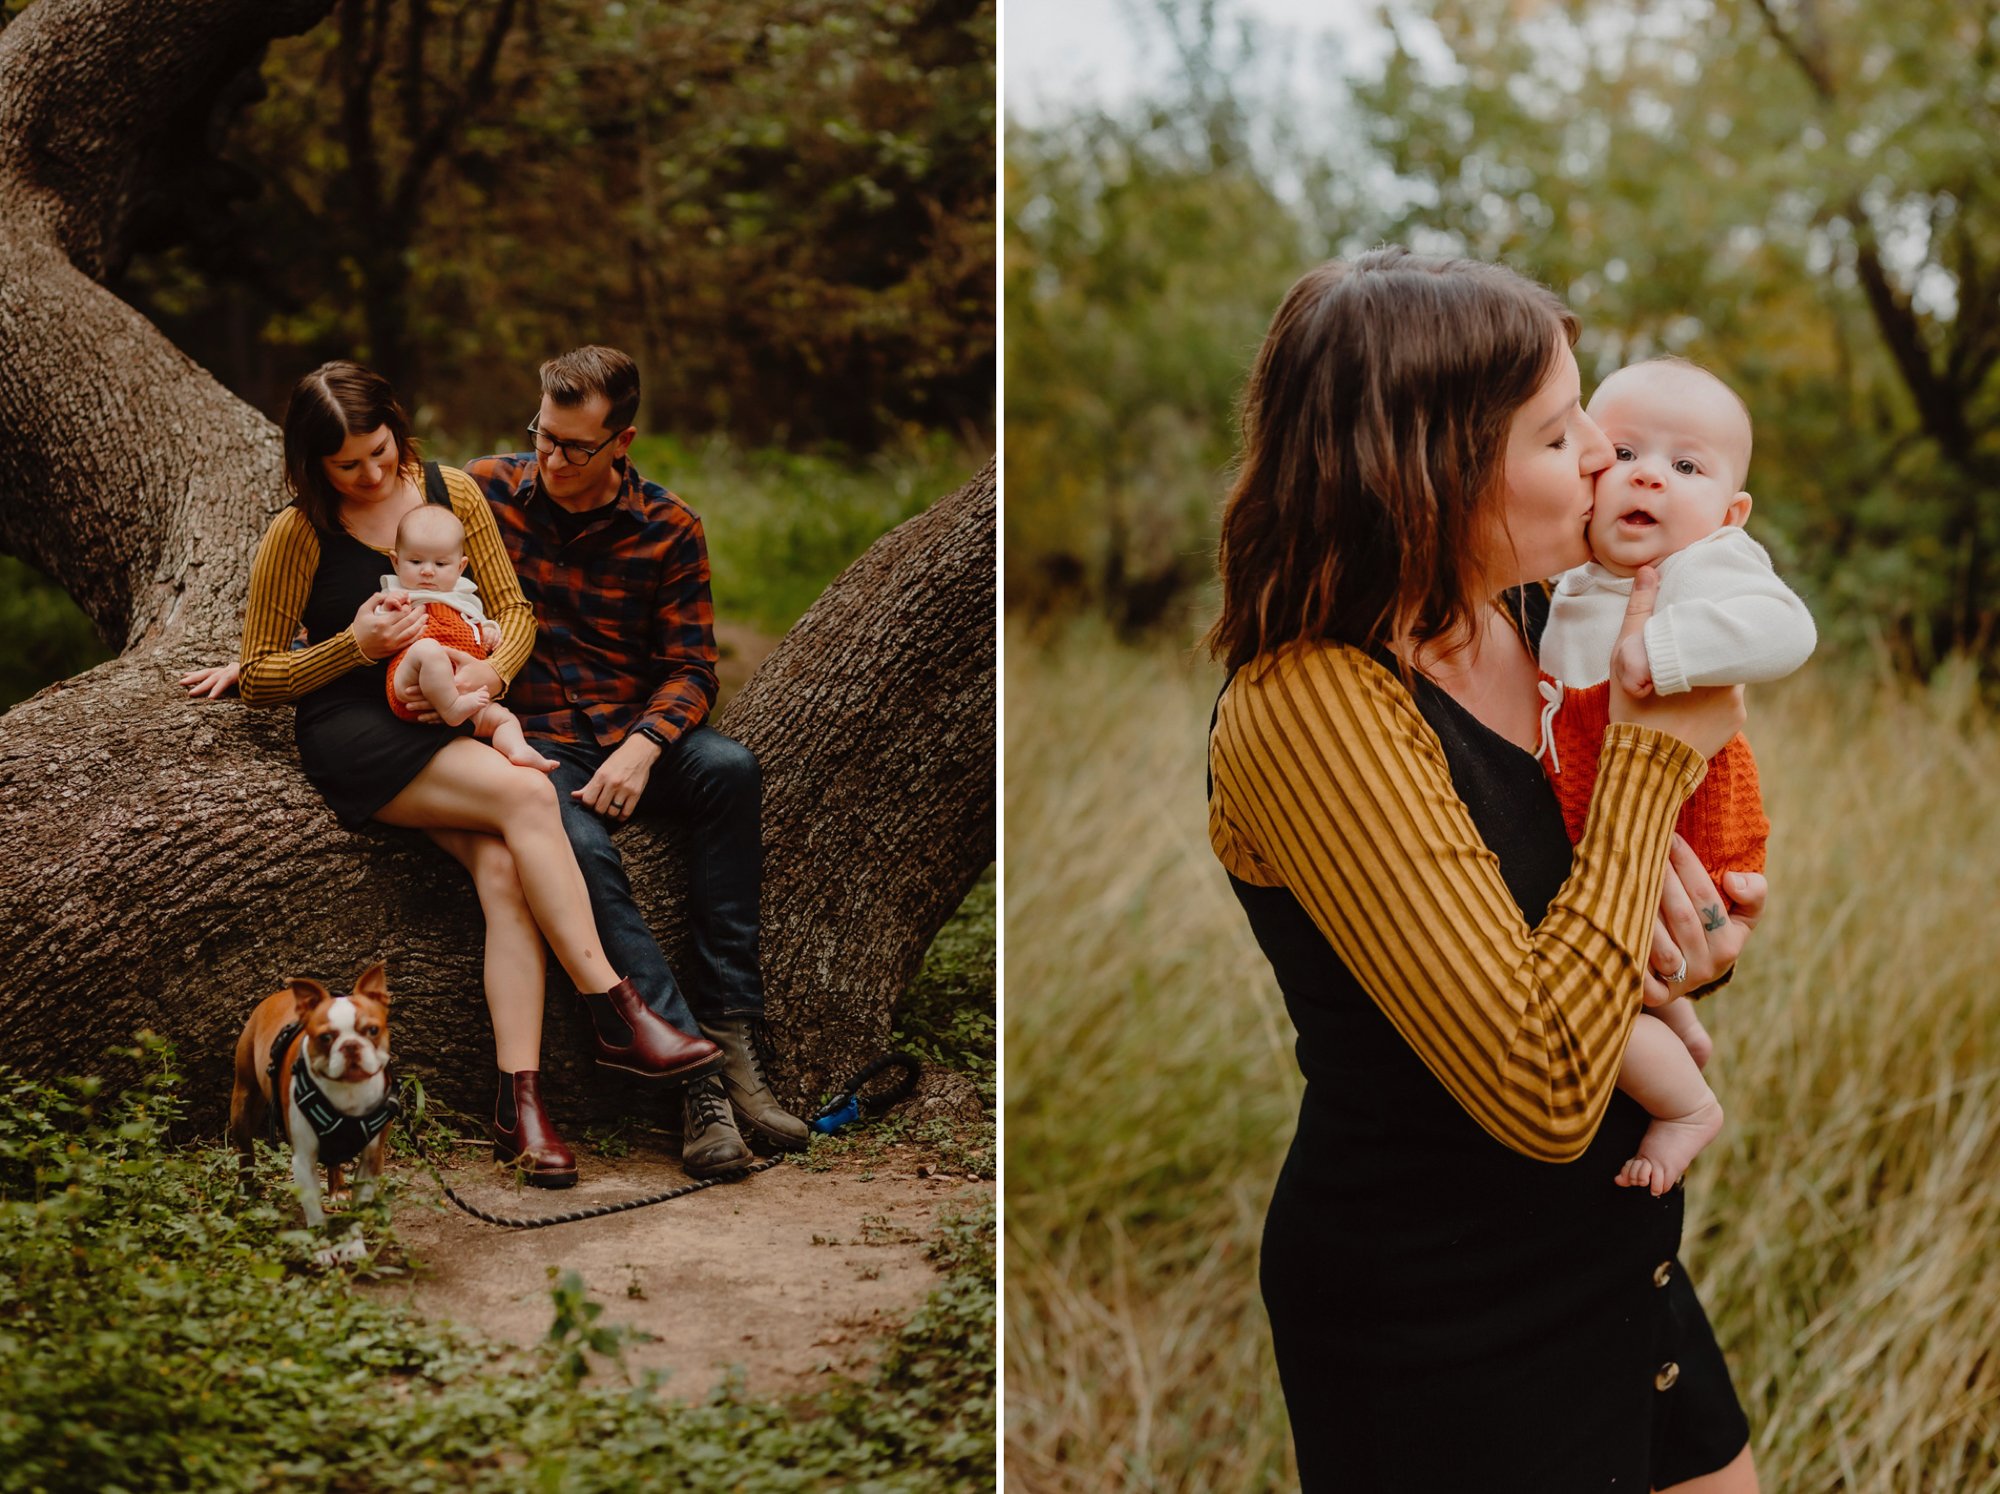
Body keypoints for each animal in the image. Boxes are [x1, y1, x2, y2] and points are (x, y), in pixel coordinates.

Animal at [230, 964, 394, 1272]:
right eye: (325, 1037)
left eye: (373, 1030)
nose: (350, 1045)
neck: (347, 1091)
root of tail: (279, 994)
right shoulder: (303, 1160)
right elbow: (315, 1213)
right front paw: (322, 1250)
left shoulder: (372, 1158)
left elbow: (359, 1209)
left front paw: (354, 1246)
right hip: (243, 1103)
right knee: (246, 1151)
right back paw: (247, 1192)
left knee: (334, 1158)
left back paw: (338, 1188)